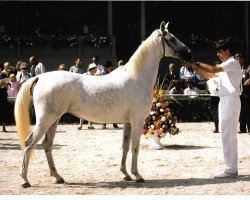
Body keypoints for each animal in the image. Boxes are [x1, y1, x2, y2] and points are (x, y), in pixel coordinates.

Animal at [14, 21, 192, 188]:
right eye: (171, 38)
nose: (189, 53)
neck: (136, 78)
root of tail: (40, 77)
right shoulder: (137, 121)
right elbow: (135, 147)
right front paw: (137, 175)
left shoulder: (127, 123)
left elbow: (125, 146)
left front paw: (125, 174)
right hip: (45, 120)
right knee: (29, 144)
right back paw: (24, 180)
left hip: (54, 120)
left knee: (46, 144)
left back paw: (58, 177)